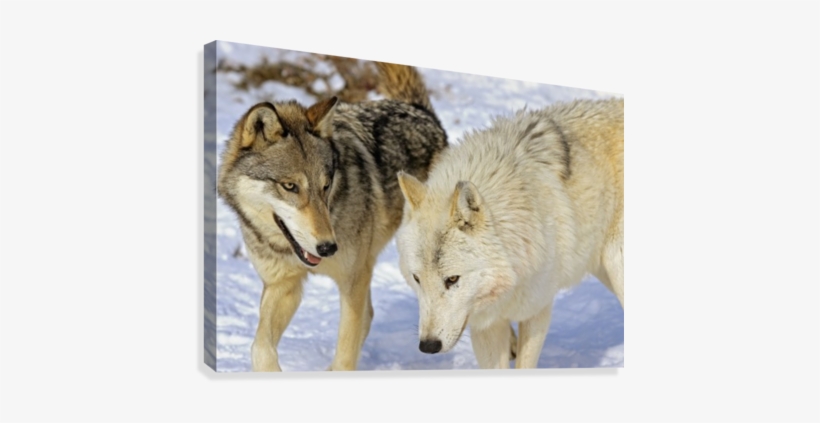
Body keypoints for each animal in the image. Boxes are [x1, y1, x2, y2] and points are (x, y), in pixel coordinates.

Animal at [217, 62, 448, 371]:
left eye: (325, 186)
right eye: (290, 186)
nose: (328, 248)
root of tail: (420, 111)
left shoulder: (352, 282)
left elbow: (347, 349)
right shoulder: (283, 285)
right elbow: (260, 347)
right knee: (370, 314)